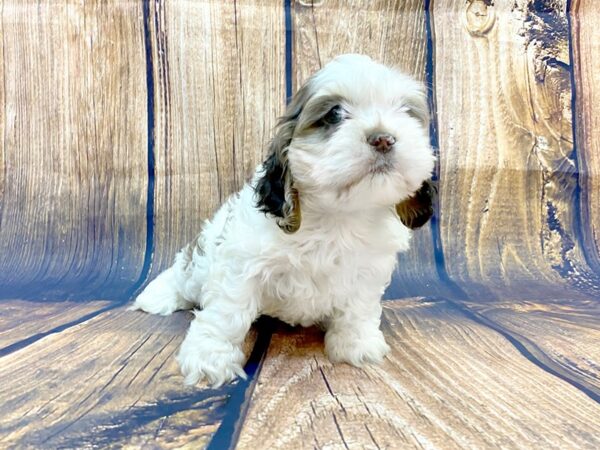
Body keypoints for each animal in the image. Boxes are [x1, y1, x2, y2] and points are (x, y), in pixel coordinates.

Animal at [130, 55, 436, 386]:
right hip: (201, 262)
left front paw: (356, 344)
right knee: (184, 274)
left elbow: (359, 308)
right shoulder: (242, 265)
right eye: (334, 114)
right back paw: (158, 295)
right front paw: (210, 356)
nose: (384, 138)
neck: (337, 217)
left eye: (406, 112)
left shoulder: (369, 270)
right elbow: (227, 312)